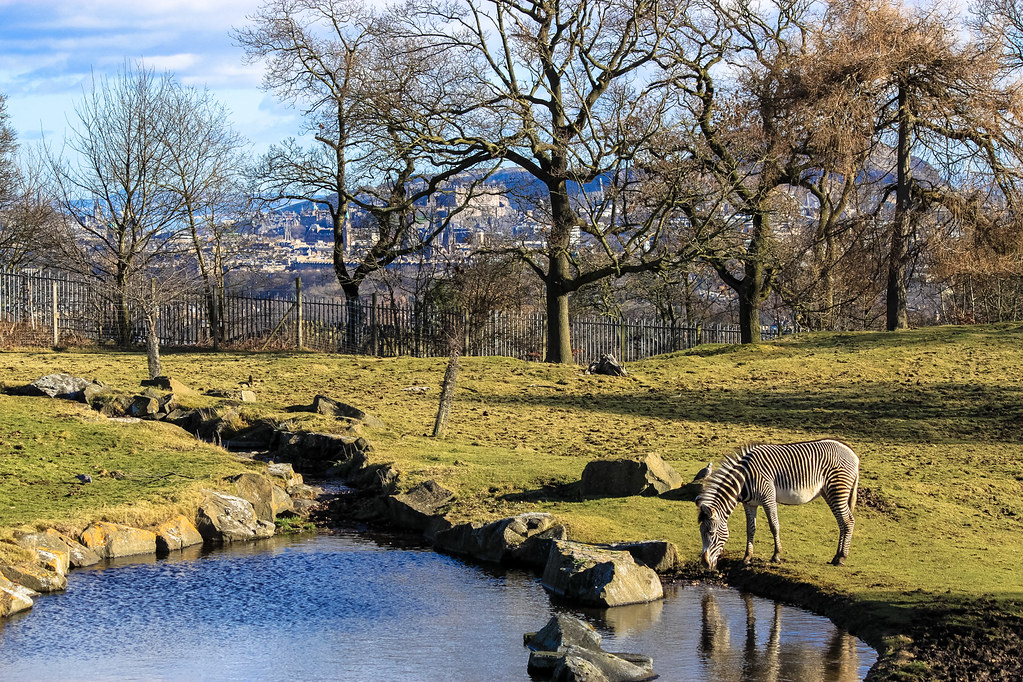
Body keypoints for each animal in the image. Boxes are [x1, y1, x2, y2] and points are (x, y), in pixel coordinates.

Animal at [699, 439, 859, 568]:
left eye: (711, 533)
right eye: (701, 532)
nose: (704, 563)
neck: (744, 480)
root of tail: (852, 454)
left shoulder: (768, 498)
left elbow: (774, 526)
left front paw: (776, 555)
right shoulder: (750, 503)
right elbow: (750, 529)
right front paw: (747, 557)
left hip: (837, 489)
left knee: (848, 521)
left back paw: (841, 557)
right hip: (829, 493)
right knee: (842, 522)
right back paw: (836, 556)